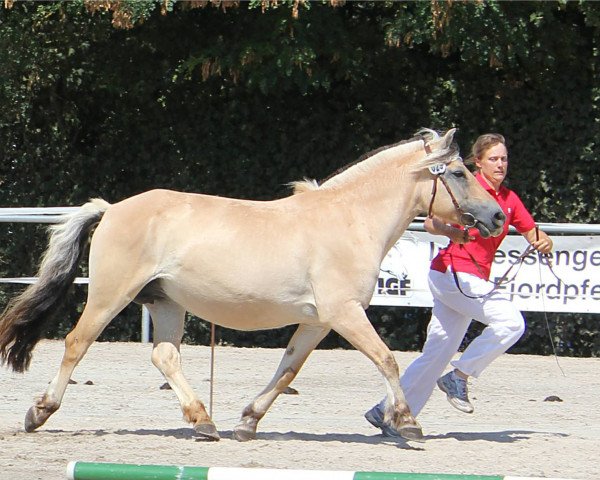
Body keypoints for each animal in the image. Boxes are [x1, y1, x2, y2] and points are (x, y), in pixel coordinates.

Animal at [0, 126, 506, 442]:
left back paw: (204, 422)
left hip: (166, 303)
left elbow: (287, 371)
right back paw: (39, 412)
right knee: (76, 342)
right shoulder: (345, 313)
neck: (349, 219)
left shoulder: (320, 321)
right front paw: (407, 424)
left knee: (164, 356)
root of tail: (111, 209)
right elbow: (387, 359)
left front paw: (247, 421)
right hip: (111, 296)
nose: (498, 216)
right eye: (458, 173)